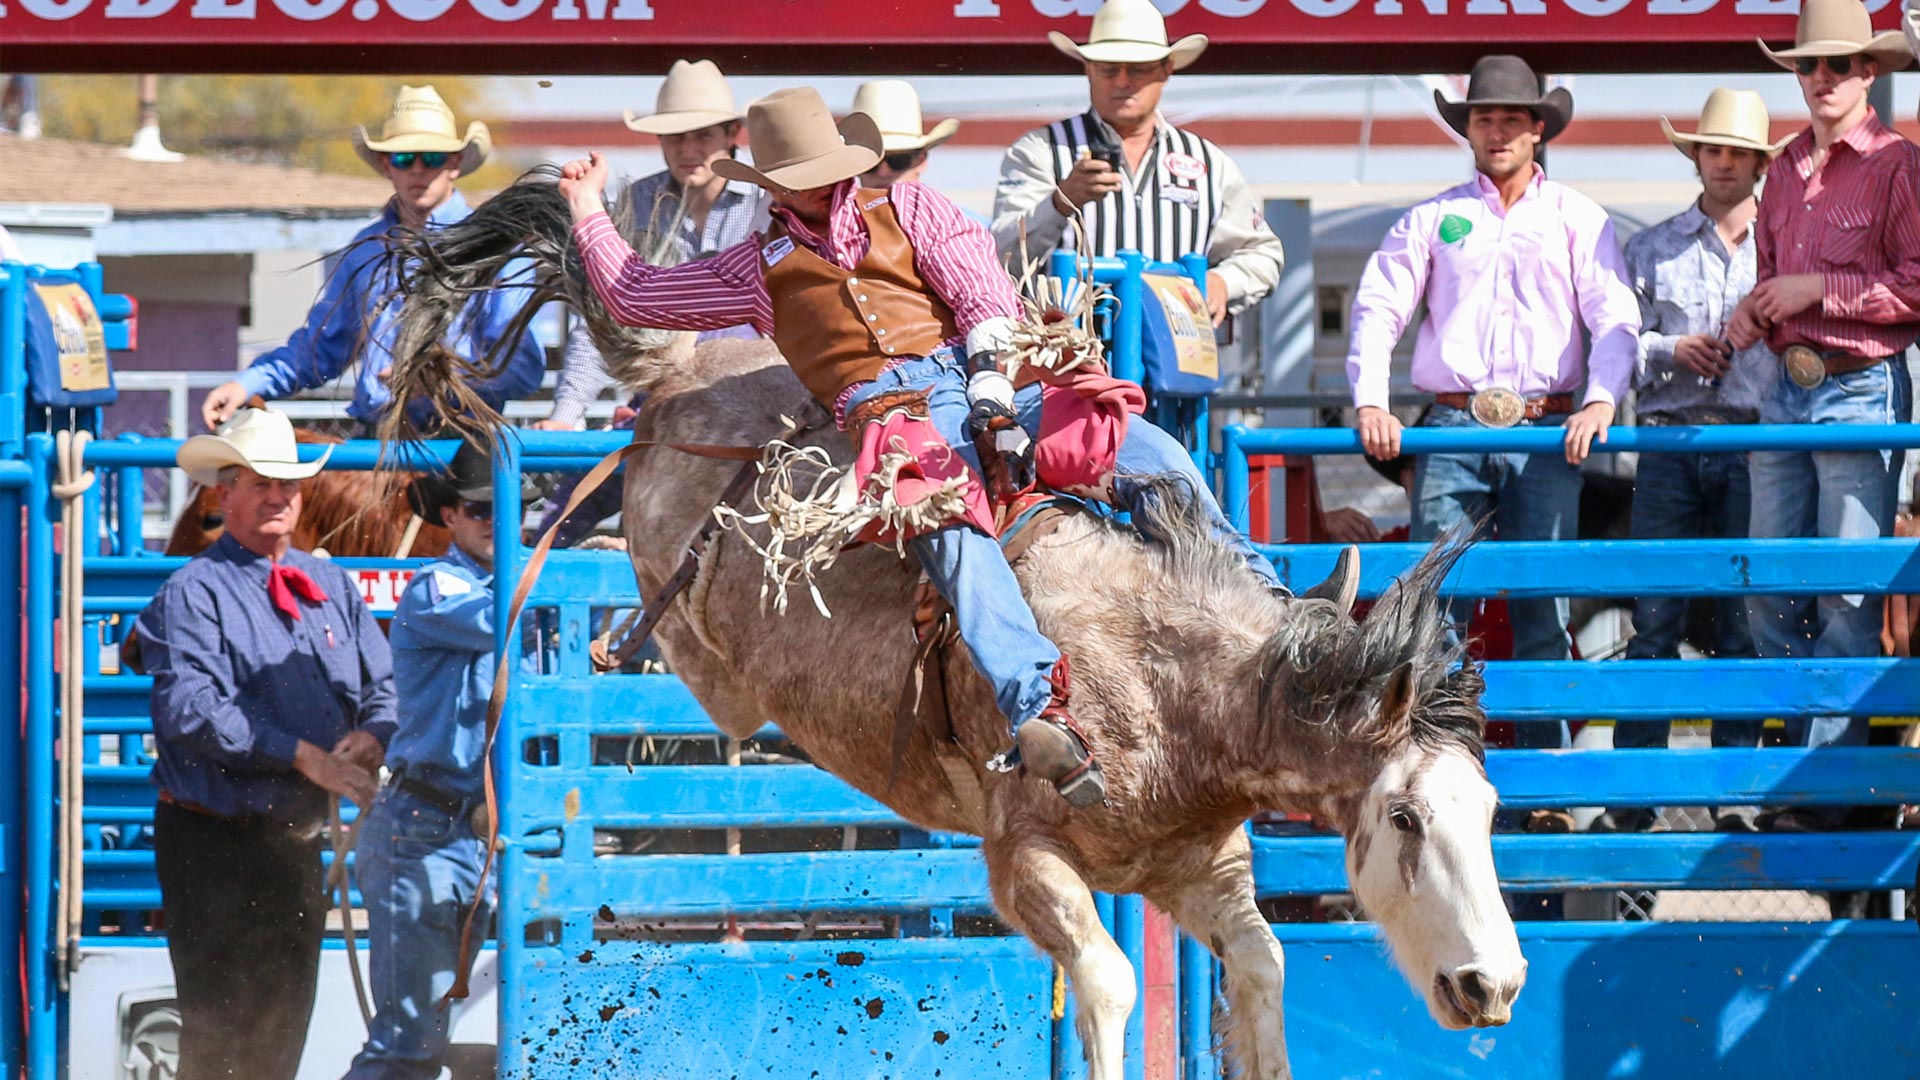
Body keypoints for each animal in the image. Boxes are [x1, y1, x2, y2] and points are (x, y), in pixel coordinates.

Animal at [382, 176, 1520, 1076]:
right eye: (1406, 817)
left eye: (1490, 810)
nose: (1495, 986)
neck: (1176, 692)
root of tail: (679, 371)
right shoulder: (1025, 863)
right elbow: (1108, 985)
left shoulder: (1194, 867)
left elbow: (1263, 968)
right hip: (696, 608)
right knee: (676, 628)